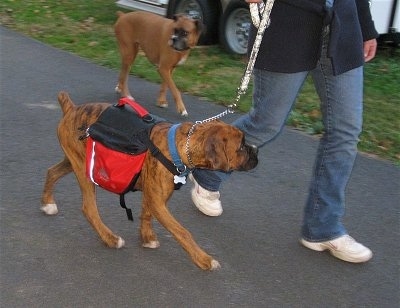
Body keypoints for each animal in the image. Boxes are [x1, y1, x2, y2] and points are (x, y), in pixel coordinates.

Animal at [41, 92, 260, 270]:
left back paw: (48, 204)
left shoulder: (153, 196)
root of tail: (72, 108)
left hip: (75, 161)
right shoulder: (158, 202)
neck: (181, 147)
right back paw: (110, 238)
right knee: (89, 208)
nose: (256, 150)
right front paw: (204, 259)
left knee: (52, 172)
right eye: (241, 147)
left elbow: (146, 214)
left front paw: (147, 238)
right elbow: (182, 232)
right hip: (83, 170)